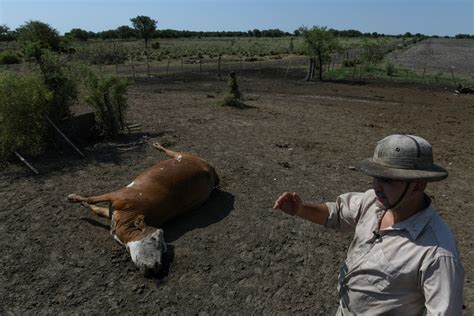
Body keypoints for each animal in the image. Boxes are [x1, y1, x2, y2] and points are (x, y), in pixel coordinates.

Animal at [67, 144, 219, 276]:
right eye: (153, 238)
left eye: (164, 249)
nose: (157, 266)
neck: (129, 216)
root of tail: (209, 168)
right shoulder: (117, 196)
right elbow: (93, 202)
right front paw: (74, 198)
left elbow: (96, 208)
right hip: (183, 155)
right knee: (171, 152)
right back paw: (158, 145)